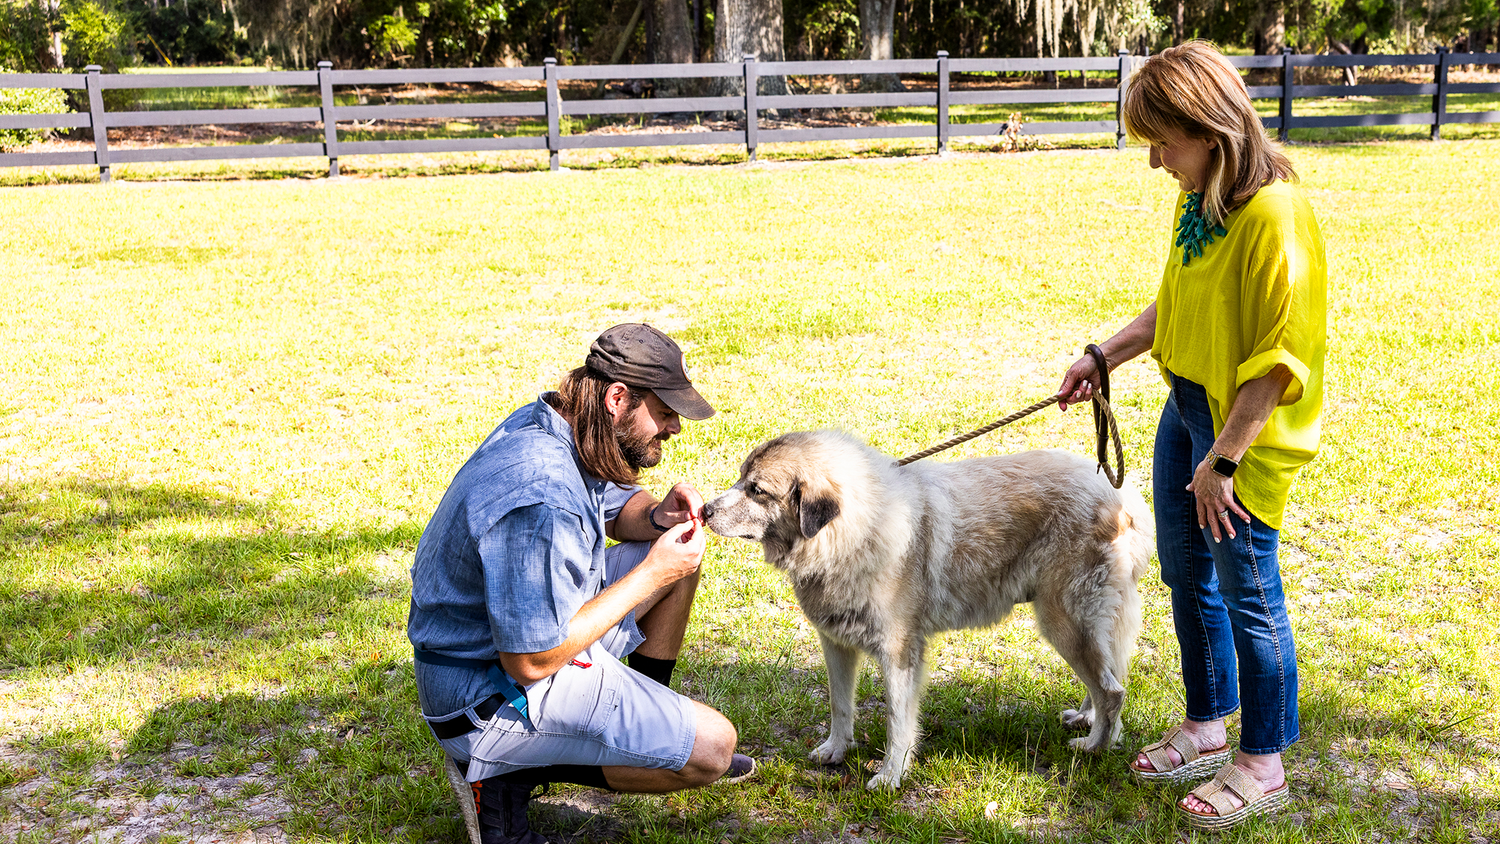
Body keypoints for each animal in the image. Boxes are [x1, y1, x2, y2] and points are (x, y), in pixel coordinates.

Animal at [699, 431, 1146, 791]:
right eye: (741, 480)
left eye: (757, 490)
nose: (703, 510)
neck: (853, 532)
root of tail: (1122, 497)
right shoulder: (836, 644)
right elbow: (841, 706)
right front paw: (836, 750)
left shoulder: (899, 654)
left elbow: (898, 723)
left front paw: (890, 777)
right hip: (1078, 624)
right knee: (1106, 673)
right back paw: (1087, 720)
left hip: (1063, 621)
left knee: (1112, 689)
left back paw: (1096, 746)